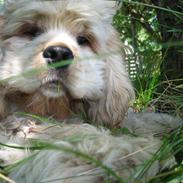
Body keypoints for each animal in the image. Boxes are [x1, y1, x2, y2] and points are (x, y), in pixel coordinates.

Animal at [0, 0, 182, 183]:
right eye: (31, 31)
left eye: (83, 39)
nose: (59, 53)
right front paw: (142, 152)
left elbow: (138, 120)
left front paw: (168, 124)